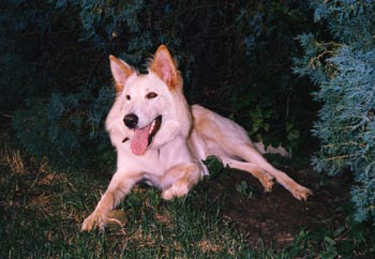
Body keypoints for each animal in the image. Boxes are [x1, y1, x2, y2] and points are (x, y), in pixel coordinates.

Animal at [83, 44, 314, 232]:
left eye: (151, 95)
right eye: (128, 98)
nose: (128, 120)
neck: (156, 147)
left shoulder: (195, 167)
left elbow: (182, 182)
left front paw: (169, 193)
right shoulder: (123, 176)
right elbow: (107, 196)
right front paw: (94, 218)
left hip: (237, 146)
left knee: (274, 168)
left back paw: (297, 189)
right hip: (218, 158)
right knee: (248, 165)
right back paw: (265, 179)